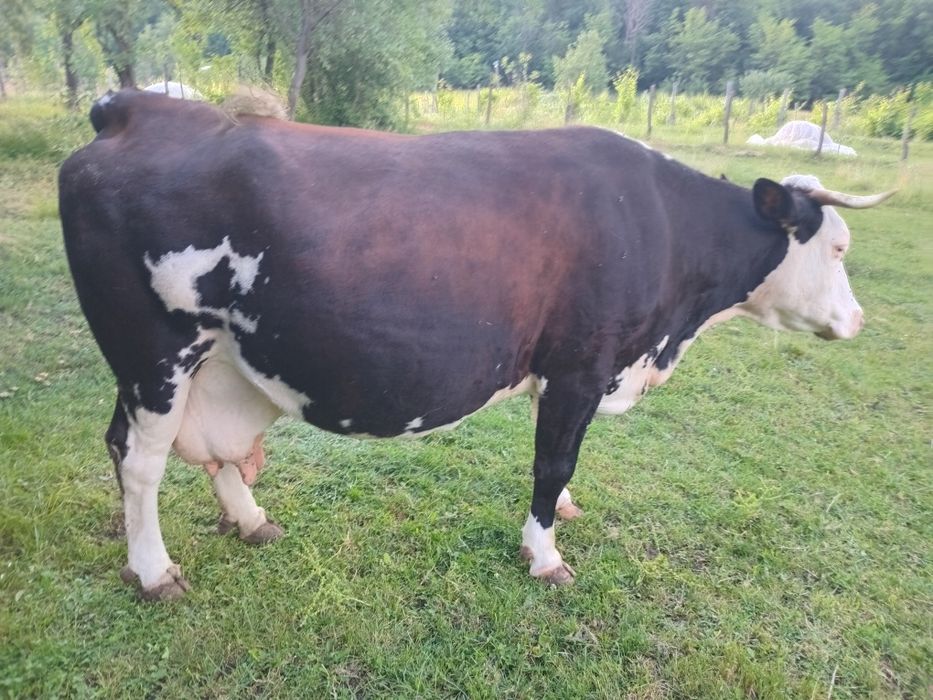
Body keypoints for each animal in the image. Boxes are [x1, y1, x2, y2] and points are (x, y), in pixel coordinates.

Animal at [58, 90, 893, 600]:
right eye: (839, 248)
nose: (857, 322)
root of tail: (135, 107)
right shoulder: (579, 366)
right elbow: (553, 459)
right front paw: (545, 554)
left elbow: (560, 463)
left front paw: (564, 514)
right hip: (154, 354)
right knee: (138, 459)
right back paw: (153, 570)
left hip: (217, 361)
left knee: (207, 448)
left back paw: (251, 518)